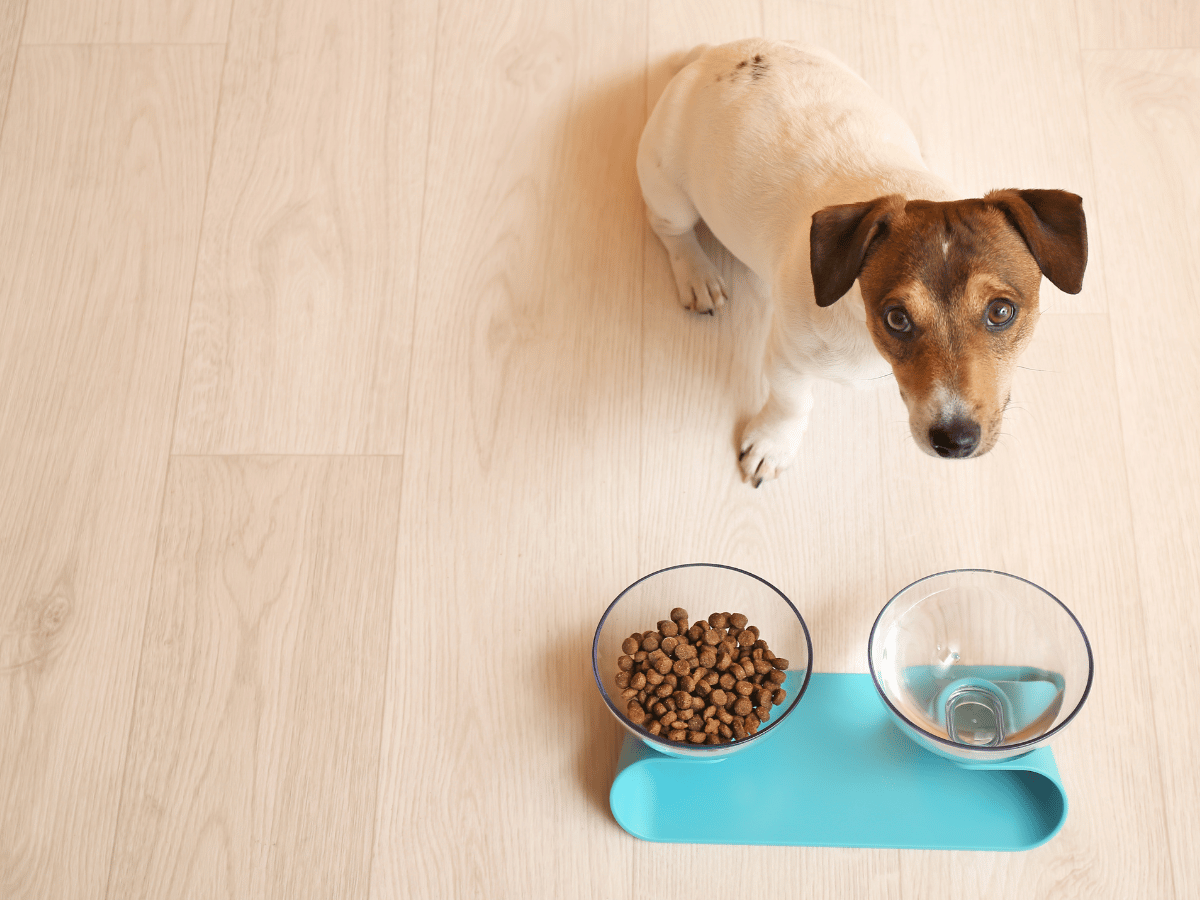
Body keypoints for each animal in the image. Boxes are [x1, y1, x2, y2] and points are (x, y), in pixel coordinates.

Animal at [638, 40, 1089, 487]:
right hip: (669, 189)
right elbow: (791, 403)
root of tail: (711, 55)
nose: (954, 440)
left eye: (1001, 312)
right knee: (671, 230)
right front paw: (773, 443)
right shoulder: (786, 359)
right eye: (897, 318)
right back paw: (697, 274)